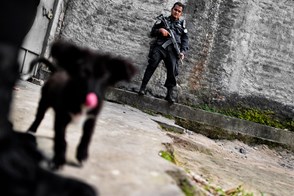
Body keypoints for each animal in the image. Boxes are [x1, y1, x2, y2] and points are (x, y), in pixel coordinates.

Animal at [27, 39, 136, 168]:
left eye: (104, 76)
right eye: (83, 72)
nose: (92, 97)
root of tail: (56, 72)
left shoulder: (91, 120)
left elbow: (86, 137)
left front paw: (82, 155)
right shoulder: (62, 117)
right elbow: (61, 139)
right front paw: (59, 159)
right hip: (44, 101)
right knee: (39, 116)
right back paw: (31, 130)